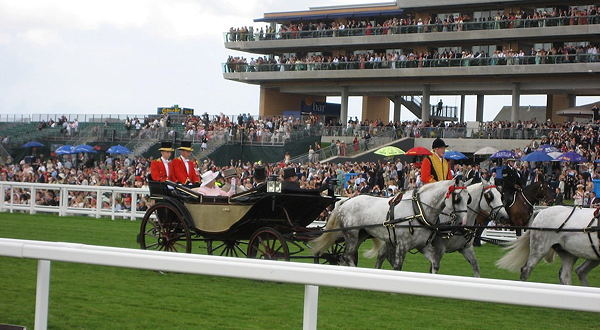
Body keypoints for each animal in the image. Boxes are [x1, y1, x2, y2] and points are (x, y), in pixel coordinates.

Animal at [312, 180, 472, 270]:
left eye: (468, 198)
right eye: (457, 198)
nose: (463, 222)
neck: (418, 210)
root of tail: (346, 201)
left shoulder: (422, 245)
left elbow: (435, 263)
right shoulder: (402, 245)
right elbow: (397, 266)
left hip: (361, 235)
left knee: (346, 256)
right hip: (351, 235)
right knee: (347, 256)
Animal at [368, 180, 508, 276]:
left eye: (501, 195)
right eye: (490, 196)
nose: (504, 217)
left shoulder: (466, 248)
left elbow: (475, 267)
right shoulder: (439, 248)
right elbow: (433, 267)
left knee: (382, 255)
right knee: (382, 256)